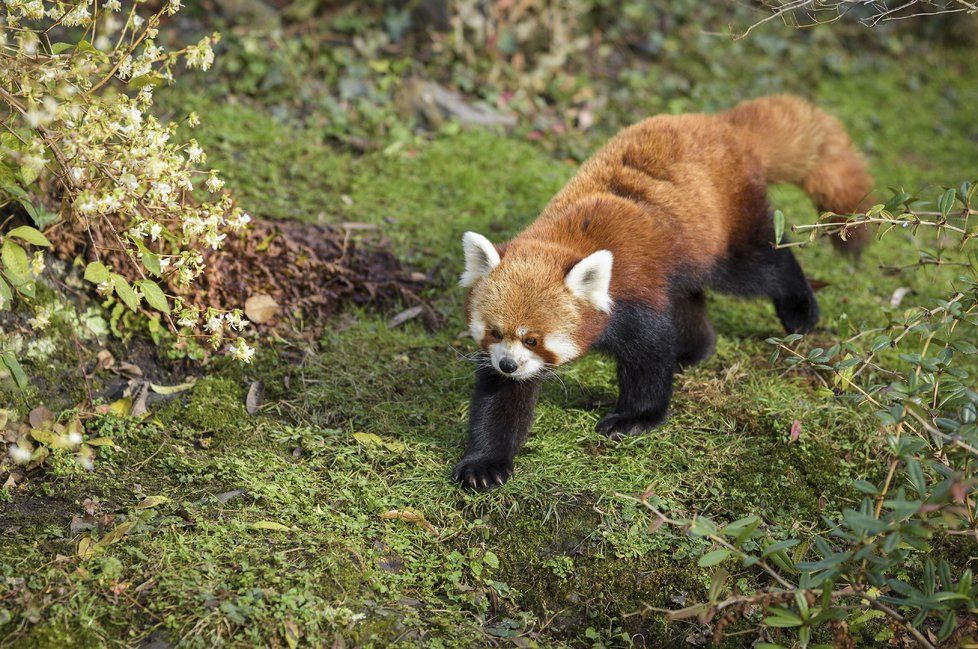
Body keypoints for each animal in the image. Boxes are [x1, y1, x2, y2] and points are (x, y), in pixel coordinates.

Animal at [454, 96, 872, 488]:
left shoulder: (634, 296)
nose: (508, 364)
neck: (566, 241)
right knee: (688, 297)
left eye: (533, 339)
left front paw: (633, 419)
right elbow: (503, 400)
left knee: (763, 265)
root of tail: (720, 124)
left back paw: (800, 310)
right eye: (496, 333)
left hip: (728, 227)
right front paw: (485, 463)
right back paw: (691, 351)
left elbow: (648, 356)